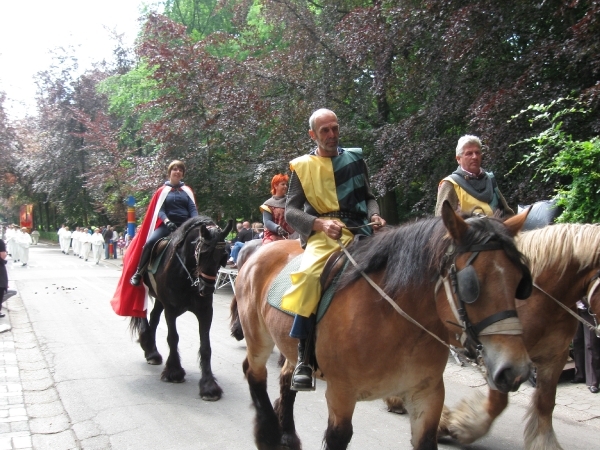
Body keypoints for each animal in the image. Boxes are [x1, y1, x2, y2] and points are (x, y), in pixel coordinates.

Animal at [129, 214, 232, 400]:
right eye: (203, 253)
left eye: (224, 254)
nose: (207, 289)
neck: (187, 274)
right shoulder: (170, 310)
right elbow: (173, 338)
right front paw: (174, 371)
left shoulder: (206, 312)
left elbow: (206, 346)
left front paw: (208, 385)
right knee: (146, 316)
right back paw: (148, 346)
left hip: (160, 300)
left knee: (154, 318)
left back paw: (151, 350)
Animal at [232, 204, 532, 450]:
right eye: (472, 284)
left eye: (520, 279)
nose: (515, 371)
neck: (394, 322)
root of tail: (258, 252)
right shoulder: (341, 394)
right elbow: (338, 437)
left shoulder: (427, 394)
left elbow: (426, 439)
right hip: (258, 336)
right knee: (254, 372)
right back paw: (270, 435)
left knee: (286, 378)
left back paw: (286, 433)